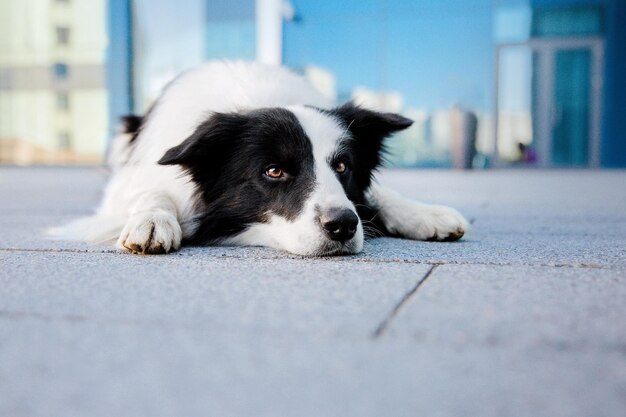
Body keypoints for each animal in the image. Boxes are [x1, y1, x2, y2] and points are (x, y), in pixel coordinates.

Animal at [53, 60, 466, 255]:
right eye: (274, 171)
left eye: (342, 167)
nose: (343, 226)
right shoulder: (129, 183)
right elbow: (151, 192)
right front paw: (153, 221)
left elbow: (378, 193)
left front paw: (424, 214)